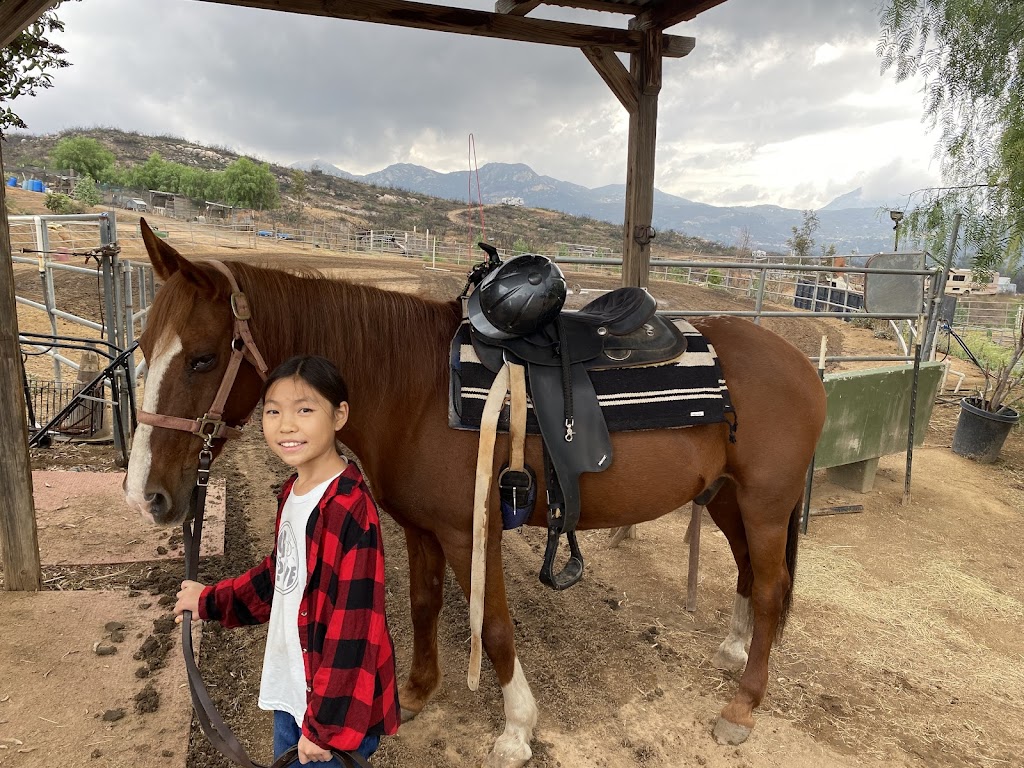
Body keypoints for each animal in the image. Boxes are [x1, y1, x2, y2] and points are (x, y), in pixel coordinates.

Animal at [125, 219, 831, 765]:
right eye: (142, 347)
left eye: (202, 358)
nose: (145, 495)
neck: (416, 389)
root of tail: (801, 363)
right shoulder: (420, 528)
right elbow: (424, 604)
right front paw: (414, 693)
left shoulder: (473, 530)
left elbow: (491, 626)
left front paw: (517, 729)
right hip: (726, 498)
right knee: (748, 573)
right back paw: (733, 650)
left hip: (766, 504)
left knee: (771, 589)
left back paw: (743, 704)